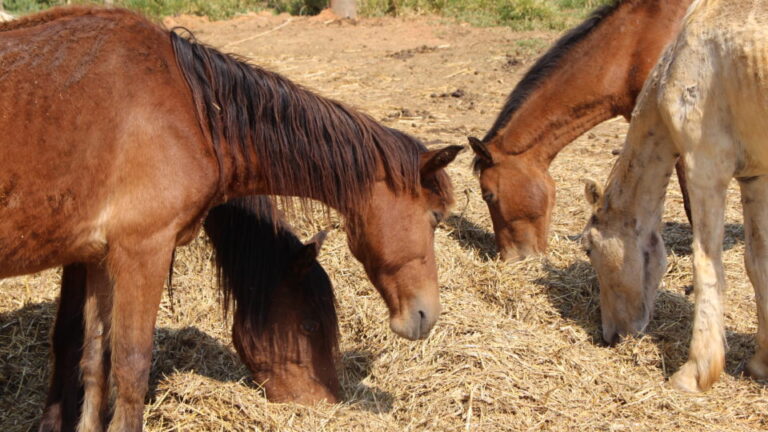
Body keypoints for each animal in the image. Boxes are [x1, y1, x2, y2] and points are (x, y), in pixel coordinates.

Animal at [584, 0, 768, 394]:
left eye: (589, 249)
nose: (610, 336)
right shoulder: (755, 176)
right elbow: (757, 262)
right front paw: (761, 361)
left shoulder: (705, 167)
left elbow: (706, 265)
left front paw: (694, 372)